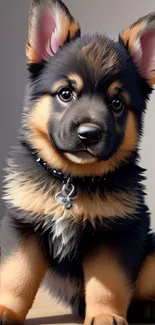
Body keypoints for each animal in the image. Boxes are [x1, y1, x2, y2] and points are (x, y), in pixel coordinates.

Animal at [0, 0, 155, 324]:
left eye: (117, 103)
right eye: (65, 93)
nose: (89, 134)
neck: (72, 179)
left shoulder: (117, 234)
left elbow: (107, 283)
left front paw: (106, 315)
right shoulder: (24, 226)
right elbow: (17, 276)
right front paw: (6, 308)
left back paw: (146, 306)